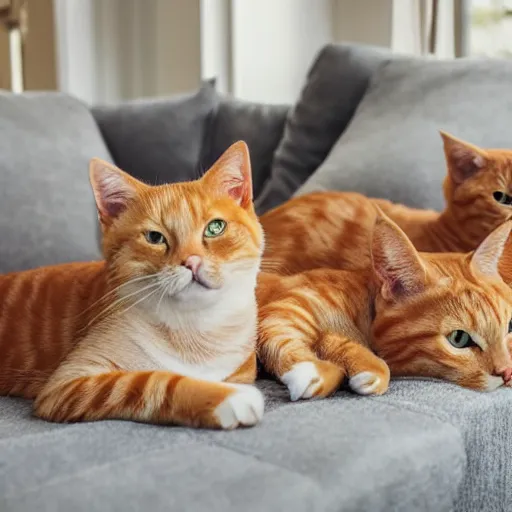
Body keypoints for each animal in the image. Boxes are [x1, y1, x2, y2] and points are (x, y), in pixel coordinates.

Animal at [0, 140, 264, 428]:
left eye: (215, 227)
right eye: (155, 237)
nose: (192, 262)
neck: (195, 331)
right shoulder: (67, 385)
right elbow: (155, 381)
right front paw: (230, 397)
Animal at [258, 213, 512, 400]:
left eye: (510, 327)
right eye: (458, 339)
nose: (508, 372)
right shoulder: (286, 309)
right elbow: (281, 335)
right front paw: (314, 373)